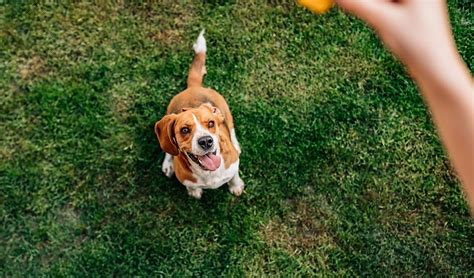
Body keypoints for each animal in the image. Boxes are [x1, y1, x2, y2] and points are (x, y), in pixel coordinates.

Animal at [156, 31, 244, 199]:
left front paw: (236, 186)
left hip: (226, 112)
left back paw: (236, 145)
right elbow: (190, 186)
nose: (206, 142)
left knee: (231, 128)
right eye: (184, 130)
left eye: (210, 123)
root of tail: (193, 87)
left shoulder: (233, 167)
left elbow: (234, 176)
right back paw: (168, 164)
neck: (208, 173)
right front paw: (194, 191)